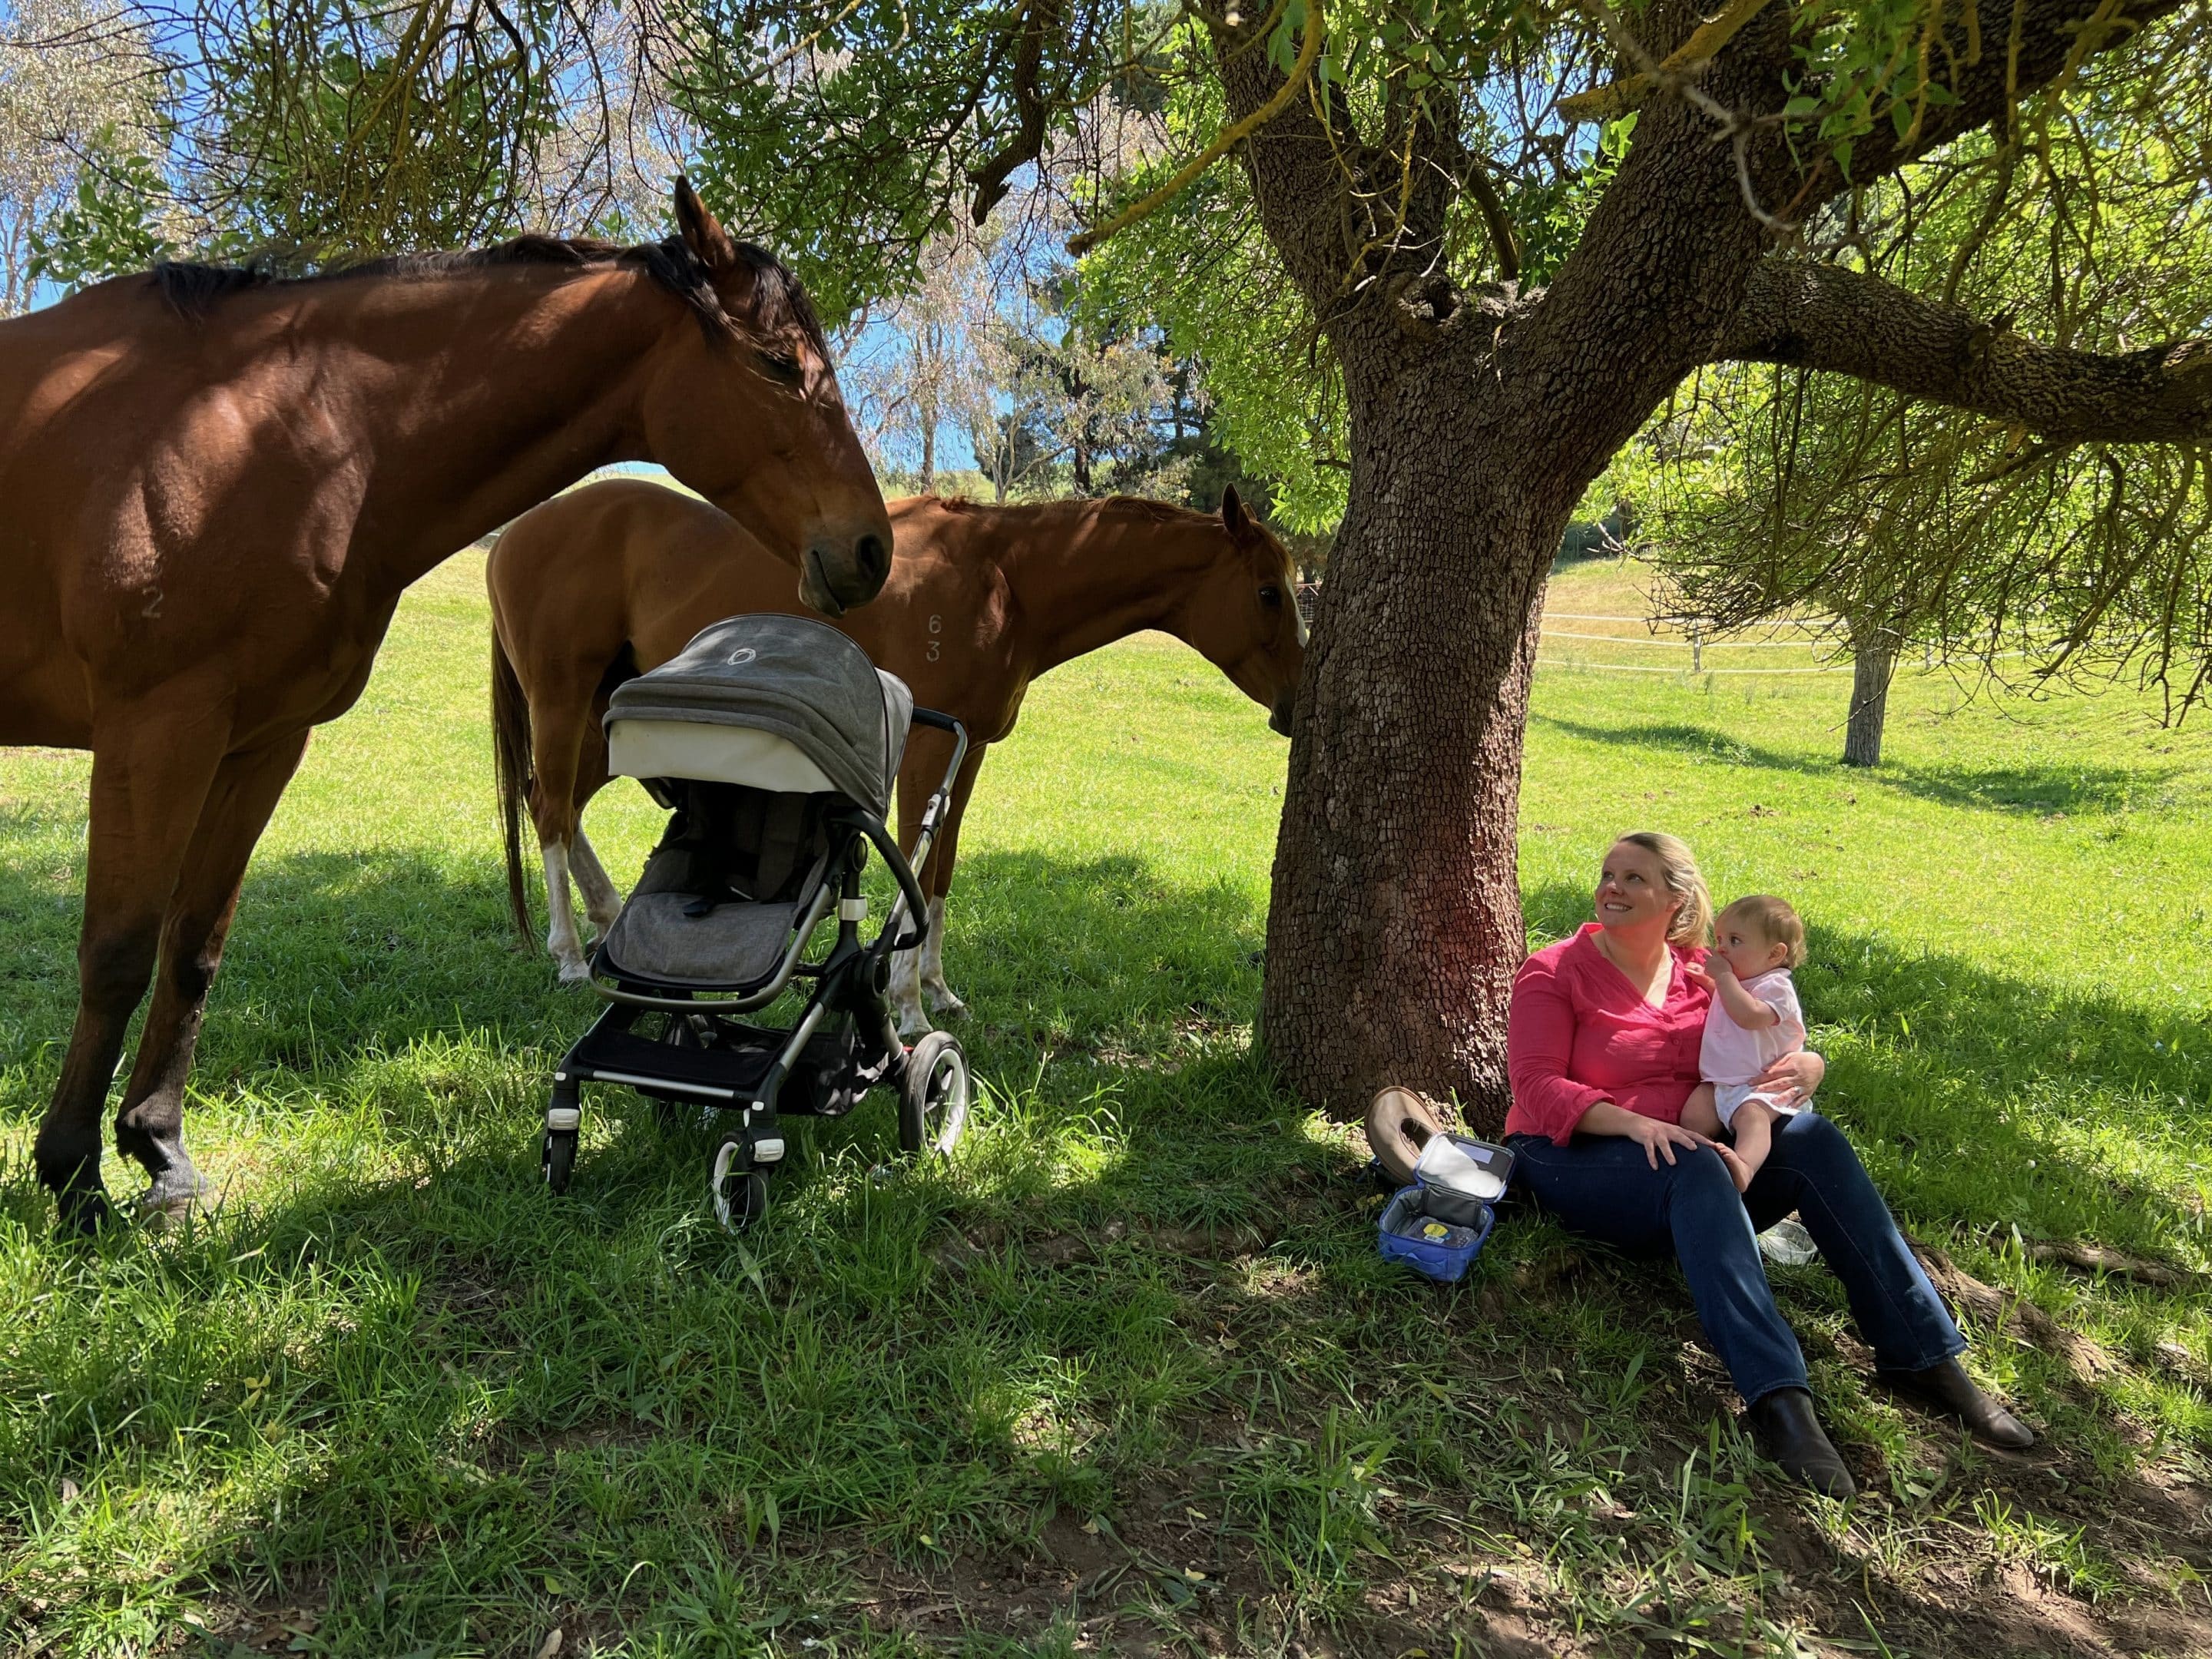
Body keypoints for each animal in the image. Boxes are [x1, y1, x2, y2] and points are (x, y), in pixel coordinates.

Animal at [6, 181, 898, 1238]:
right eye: (777, 364)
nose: (873, 549)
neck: (266, 432)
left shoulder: (259, 744)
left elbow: (193, 948)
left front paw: (160, 1152)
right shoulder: (156, 733)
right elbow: (117, 952)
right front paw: (73, 1174)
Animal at [493, 473, 1300, 1035]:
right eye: (1268, 591)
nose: (1294, 708)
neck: (1003, 580)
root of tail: (515, 533)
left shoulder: (969, 752)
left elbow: (941, 870)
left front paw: (939, 988)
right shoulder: (927, 747)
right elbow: (914, 860)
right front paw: (908, 1004)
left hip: (608, 711)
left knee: (556, 805)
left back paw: (607, 918)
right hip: (564, 698)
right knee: (552, 810)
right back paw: (570, 956)